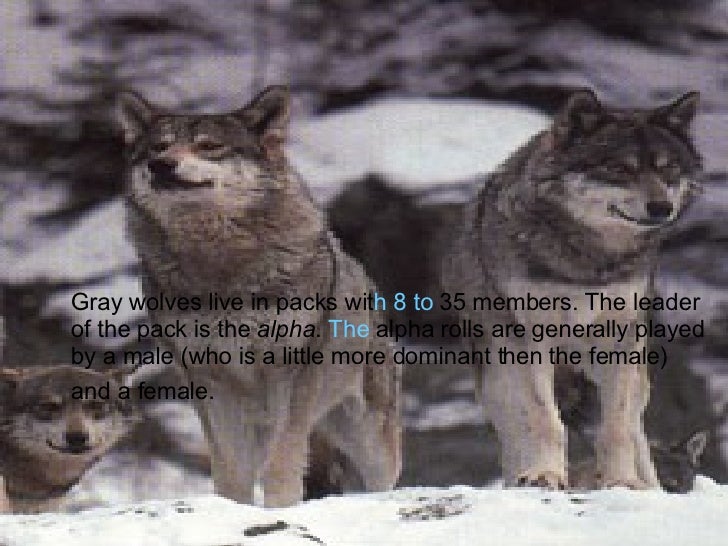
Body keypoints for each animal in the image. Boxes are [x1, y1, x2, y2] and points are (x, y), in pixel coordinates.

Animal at [115, 86, 401, 507]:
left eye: (209, 146)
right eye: (158, 147)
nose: (161, 165)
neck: (222, 270)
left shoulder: (291, 374)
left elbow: (281, 462)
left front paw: (282, 507)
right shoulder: (208, 381)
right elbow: (230, 468)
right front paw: (233, 510)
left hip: (368, 438)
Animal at [442, 89, 702, 490]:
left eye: (668, 168)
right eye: (619, 168)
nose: (662, 207)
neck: (587, 262)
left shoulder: (619, 340)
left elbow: (616, 429)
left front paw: (622, 483)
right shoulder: (531, 338)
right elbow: (543, 418)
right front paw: (545, 474)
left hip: (633, 373)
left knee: (637, 431)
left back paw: (648, 485)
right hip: (497, 377)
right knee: (514, 434)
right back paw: (520, 478)